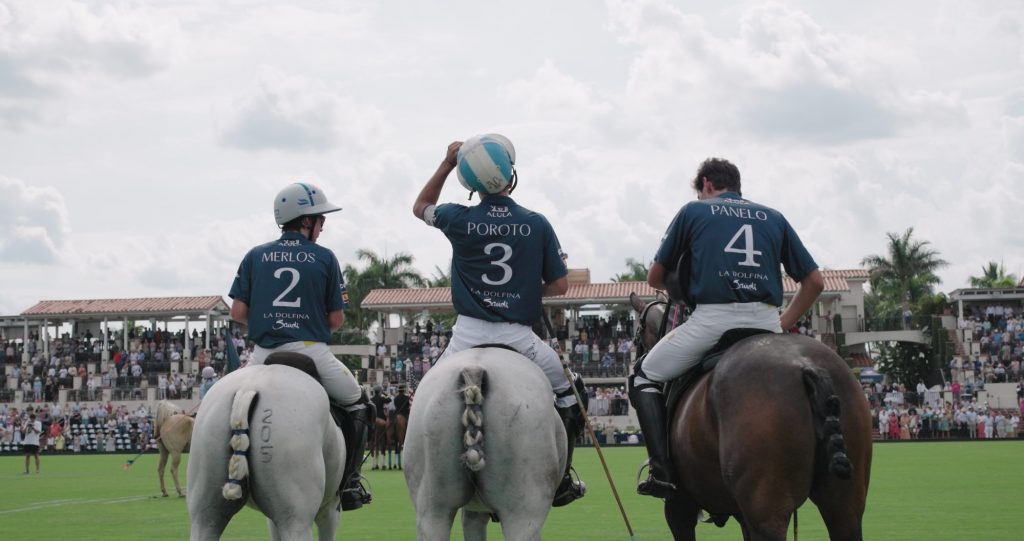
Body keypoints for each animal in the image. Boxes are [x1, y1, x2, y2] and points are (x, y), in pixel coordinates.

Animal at [626, 293, 876, 541]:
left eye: (637, 333)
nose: (636, 358)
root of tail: (806, 365)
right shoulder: (740, 514)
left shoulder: (679, 505)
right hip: (846, 503)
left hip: (765, 507)